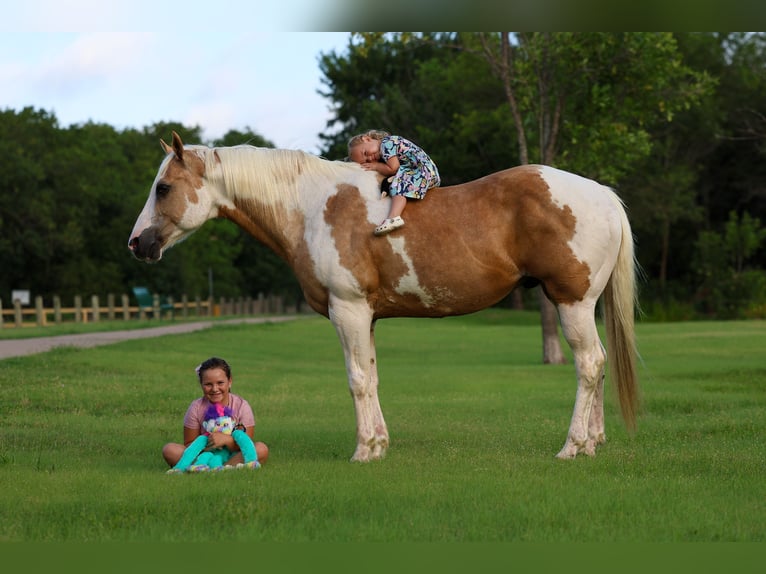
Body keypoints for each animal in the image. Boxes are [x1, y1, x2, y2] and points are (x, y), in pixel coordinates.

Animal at [128, 131, 639, 461]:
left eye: (163, 188)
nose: (137, 243)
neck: (313, 207)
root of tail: (603, 194)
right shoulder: (366, 316)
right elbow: (372, 376)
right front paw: (379, 444)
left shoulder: (348, 310)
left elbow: (357, 380)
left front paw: (363, 451)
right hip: (583, 305)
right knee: (599, 361)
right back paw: (593, 442)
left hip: (571, 302)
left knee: (589, 363)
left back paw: (572, 447)